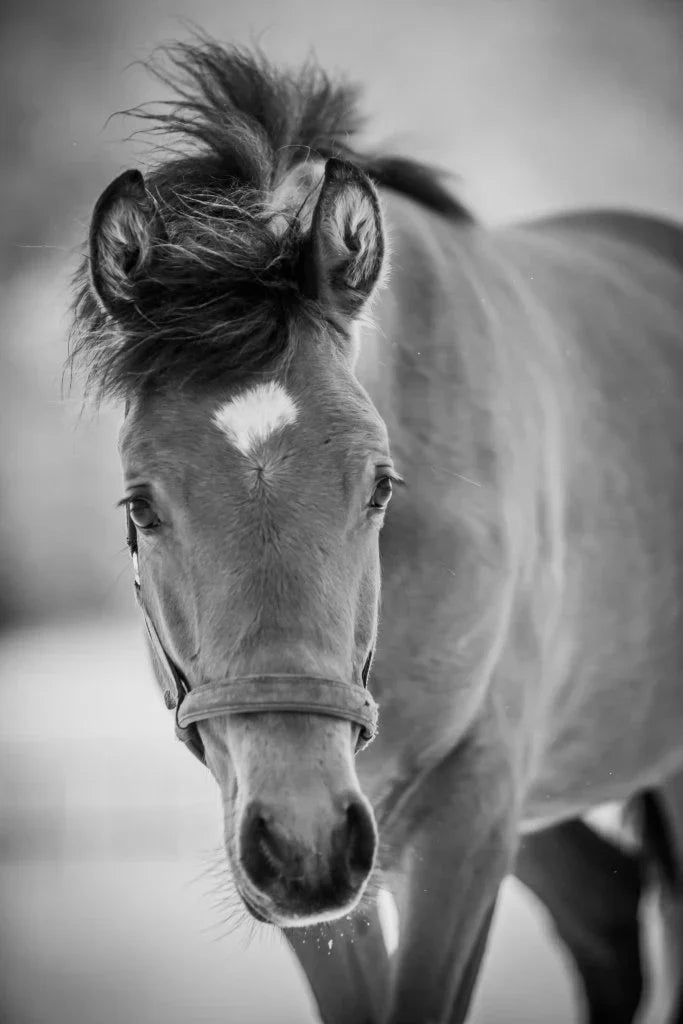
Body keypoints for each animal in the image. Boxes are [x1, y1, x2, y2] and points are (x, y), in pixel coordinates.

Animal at [70, 41, 683, 1024]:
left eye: (380, 485)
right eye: (139, 506)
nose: (304, 842)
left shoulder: (468, 807)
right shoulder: (296, 838)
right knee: (604, 912)